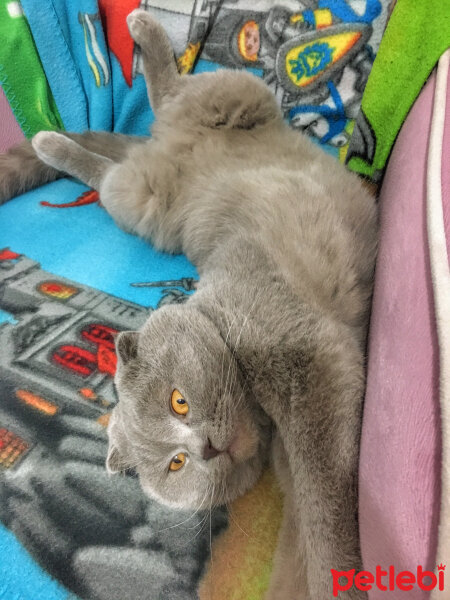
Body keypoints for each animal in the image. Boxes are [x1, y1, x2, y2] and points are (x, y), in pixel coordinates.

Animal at [0, 10, 378, 600]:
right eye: (176, 464)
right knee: (118, 158)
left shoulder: (311, 361)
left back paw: (132, 47)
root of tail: (160, 148)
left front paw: (338, 575)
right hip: (141, 198)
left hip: (232, 96)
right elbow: (301, 528)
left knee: (169, 98)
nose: (205, 448)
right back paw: (54, 140)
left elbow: (323, 501)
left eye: (179, 401)